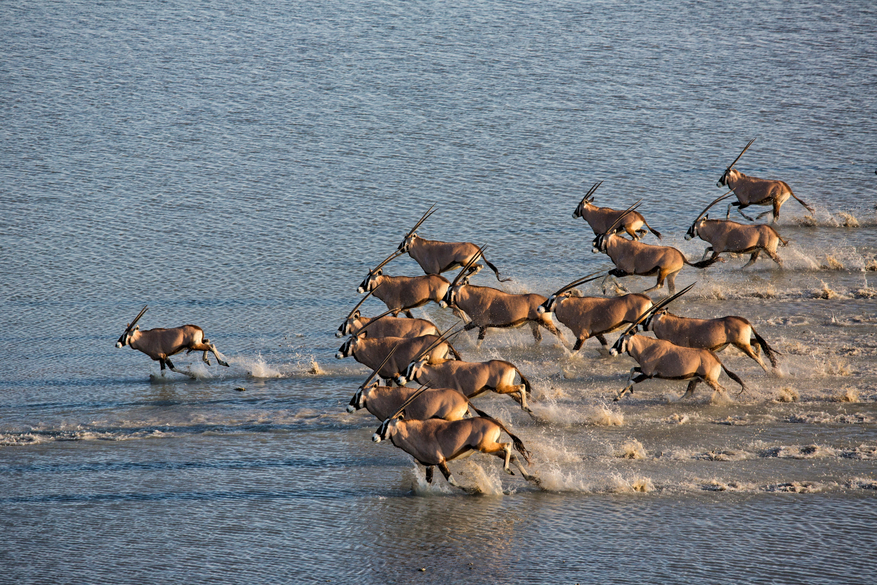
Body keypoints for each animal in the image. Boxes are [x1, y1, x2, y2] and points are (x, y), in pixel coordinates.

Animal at [372, 388, 540, 492]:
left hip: (485, 447)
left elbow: (451, 480)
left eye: (386, 424)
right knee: (513, 456)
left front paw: (474, 489)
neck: (416, 432)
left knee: (508, 445)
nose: (374, 437)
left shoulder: (440, 461)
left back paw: (508, 470)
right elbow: (427, 483)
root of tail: (495, 422)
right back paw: (533, 479)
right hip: (490, 448)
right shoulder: (430, 465)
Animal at [588, 201, 720, 294]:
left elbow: (611, 274)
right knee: (671, 290)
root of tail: (681, 255)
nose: (593, 248)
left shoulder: (627, 271)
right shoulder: (620, 269)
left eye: (600, 238)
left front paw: (623, 288)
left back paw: (643, 292)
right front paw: (605, 289)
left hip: (662, 271)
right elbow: (608, 273)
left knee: (659, 285)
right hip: (671, 275)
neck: (620, 247)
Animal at [608, 284, 744, 402]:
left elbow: (631, 380)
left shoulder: (647, 374)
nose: (611, 351)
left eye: (621, 340)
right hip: (698, 379)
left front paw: (617, 397)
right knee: (690, 392)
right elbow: (632, 370)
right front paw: (628, 392)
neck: (646, 347)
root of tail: (717, 360)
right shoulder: (643, 370)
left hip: (709, 380)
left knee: (722, 390)